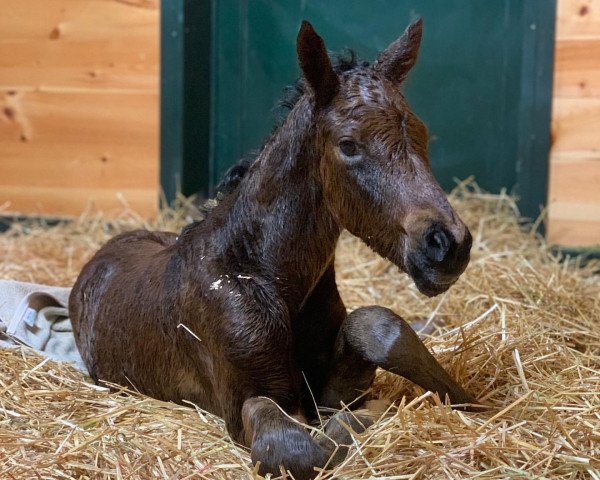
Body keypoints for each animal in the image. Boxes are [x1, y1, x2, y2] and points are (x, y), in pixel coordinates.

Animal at [70, 19, 476, 480]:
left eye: (421, 134)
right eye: (349, 145)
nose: (448, 244)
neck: (263, 274)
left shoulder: (327, 388)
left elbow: (373, 331)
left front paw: (466, 401)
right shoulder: (247, 400)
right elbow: (298, 449)